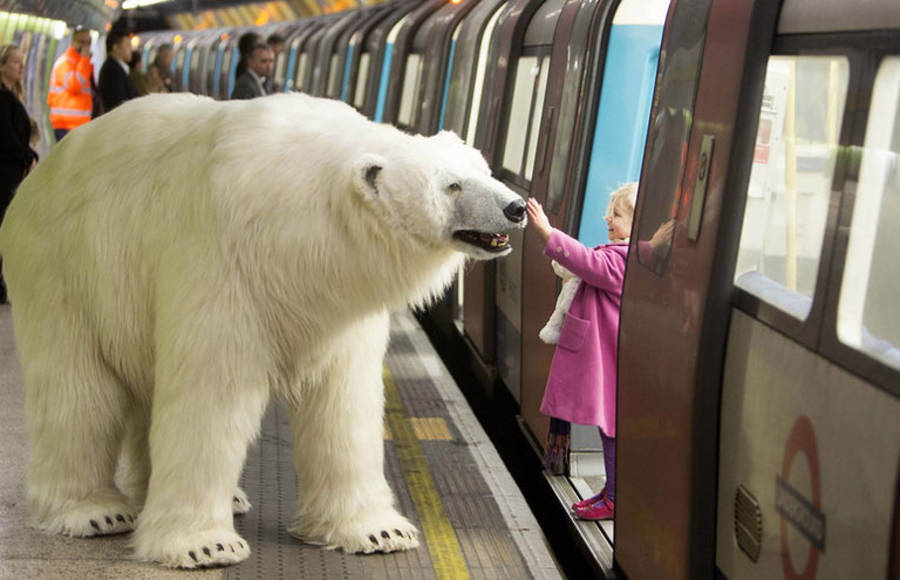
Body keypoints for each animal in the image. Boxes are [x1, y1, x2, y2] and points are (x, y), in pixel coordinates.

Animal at [0, 93, 528, 568]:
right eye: (452, 185)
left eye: (483, 169)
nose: (517, 207)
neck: (298, 226)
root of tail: (37, 177)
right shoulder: (223, 262)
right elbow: (209, 396)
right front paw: (204, 546)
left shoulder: (338, 304)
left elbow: (343, 402)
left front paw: (380, 531)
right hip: (62, 269)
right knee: (79, 392)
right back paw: (94, 512)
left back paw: (216, 496)